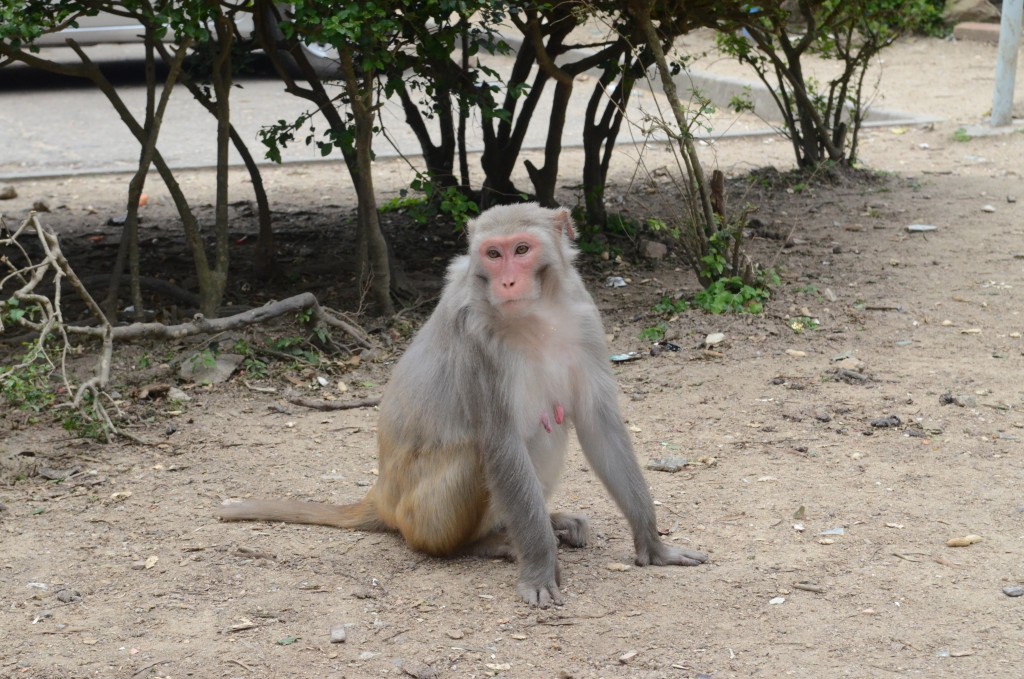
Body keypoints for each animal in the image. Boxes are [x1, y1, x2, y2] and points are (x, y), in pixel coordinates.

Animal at [219, 201, 708, 606]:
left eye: (522, 249)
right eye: (493, 254)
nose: (507, 280)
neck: (535, 315)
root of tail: (382, 496)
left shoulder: (585, 320)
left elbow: (598, 424)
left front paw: (653, 546)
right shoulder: (476, 339)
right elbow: (501, 441)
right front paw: (539, 569)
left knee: (550, 426)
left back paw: (546, 521)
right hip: (423, 517)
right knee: (482, 454)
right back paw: (488, 543)